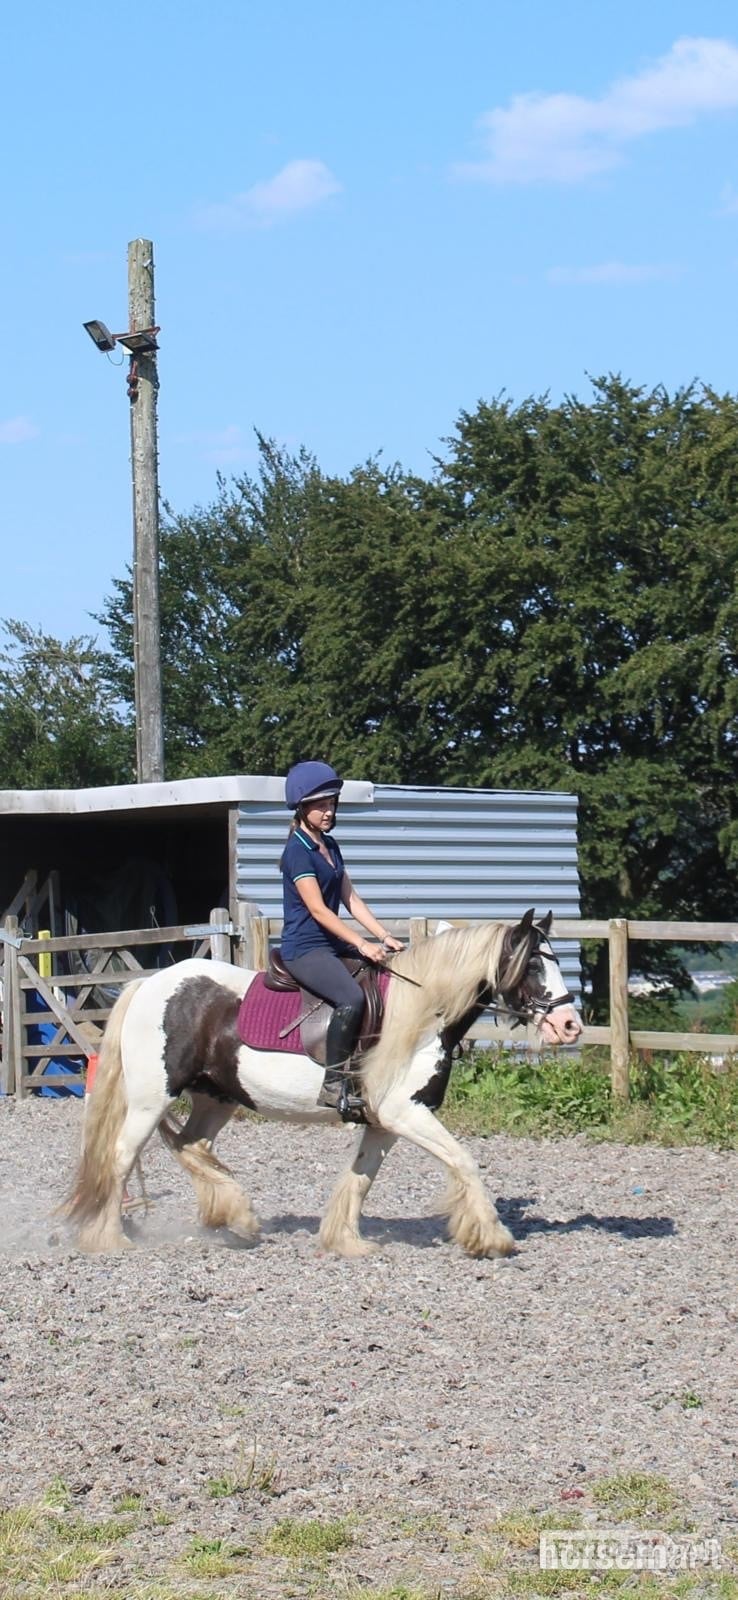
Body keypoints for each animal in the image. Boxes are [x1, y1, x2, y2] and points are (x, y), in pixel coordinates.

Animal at [65, 910, 582, 1260]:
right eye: (533, 966)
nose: (570, 1025)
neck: (421, 1015)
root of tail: (149, 985)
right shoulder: (406, 1112)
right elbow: (465, 1161)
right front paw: (491, 1237)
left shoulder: (383, 1122)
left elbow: (360, 1177)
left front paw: (345, 1240)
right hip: (151, 1099)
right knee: (120, 1157)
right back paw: (107, 1237)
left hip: (216, 1098)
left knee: (191, 1146)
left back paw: (235, 1216)